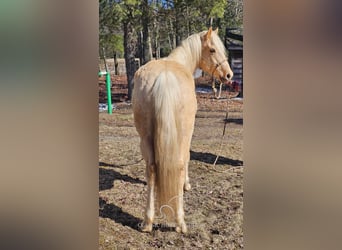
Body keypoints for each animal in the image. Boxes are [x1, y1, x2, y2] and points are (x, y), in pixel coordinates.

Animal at [132, 27, 234, 232]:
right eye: (212, 50)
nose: (229, 75)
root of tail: (164, 78)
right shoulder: (189, 133)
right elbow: (187, 158)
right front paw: (187, 185)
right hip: (182, 134)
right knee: (178, 165)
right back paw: (180, 222)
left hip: (145, 137)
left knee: (151, 169)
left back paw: (147, 222)